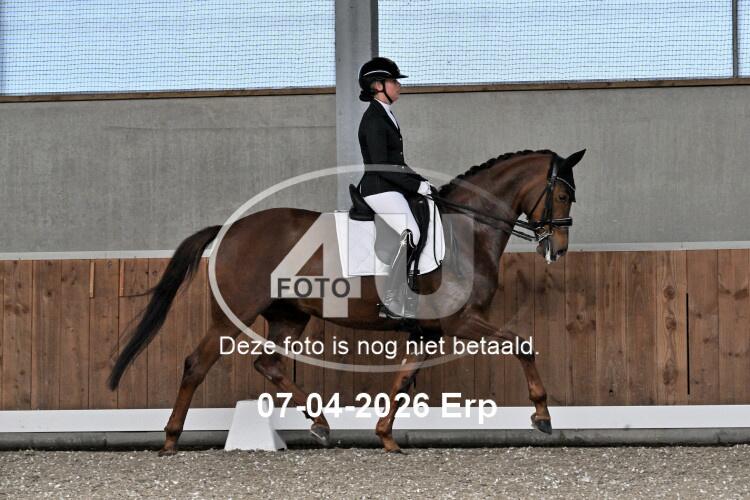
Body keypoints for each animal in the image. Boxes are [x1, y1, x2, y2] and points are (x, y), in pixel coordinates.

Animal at [107, 148, 584, 455]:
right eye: (562, 195)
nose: (558, 249)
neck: (467, 230)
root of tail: (231, 228)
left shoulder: (428, 332)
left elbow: (403, 381)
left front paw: (386, 435)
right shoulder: (462, 321)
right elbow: (522, 344)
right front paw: (542, 416)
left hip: (289, 317)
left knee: (268, 364)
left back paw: (319, 423)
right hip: (234, 314)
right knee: (196, 364)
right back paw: (170, 439)